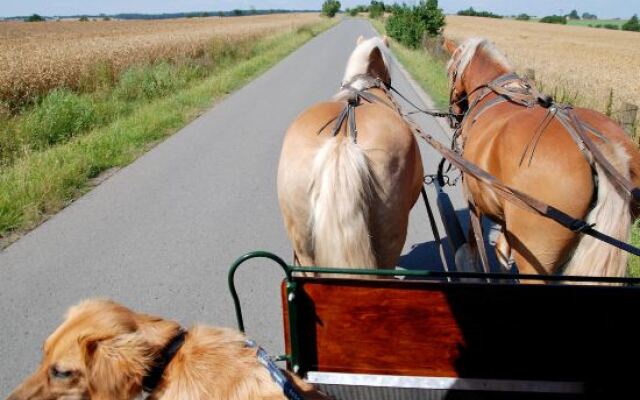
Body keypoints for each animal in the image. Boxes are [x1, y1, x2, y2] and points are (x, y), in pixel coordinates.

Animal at [444, 39, 640, 280]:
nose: (453, 115)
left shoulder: (474, 196)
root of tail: (603, 149)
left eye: (450, 72)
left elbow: (475, 238)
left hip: (537, 251)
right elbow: (502, 250)